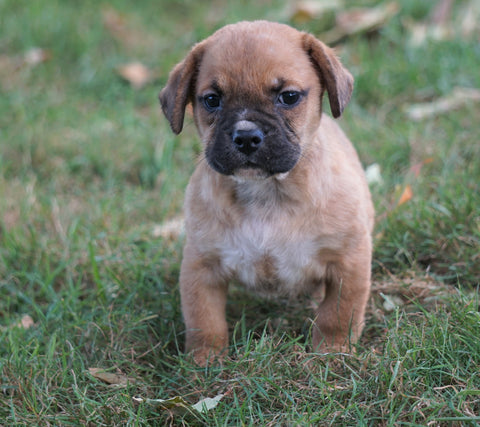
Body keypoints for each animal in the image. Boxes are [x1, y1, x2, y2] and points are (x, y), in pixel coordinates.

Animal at [159, 21, 374, 366]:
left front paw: (332, 353)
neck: (267, 192)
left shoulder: (348, 260)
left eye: (289, 97)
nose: (246, 136)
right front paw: (205, 362)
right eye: (211, 100)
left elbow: (338, 313)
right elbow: (204, 320)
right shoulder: (201, 267)